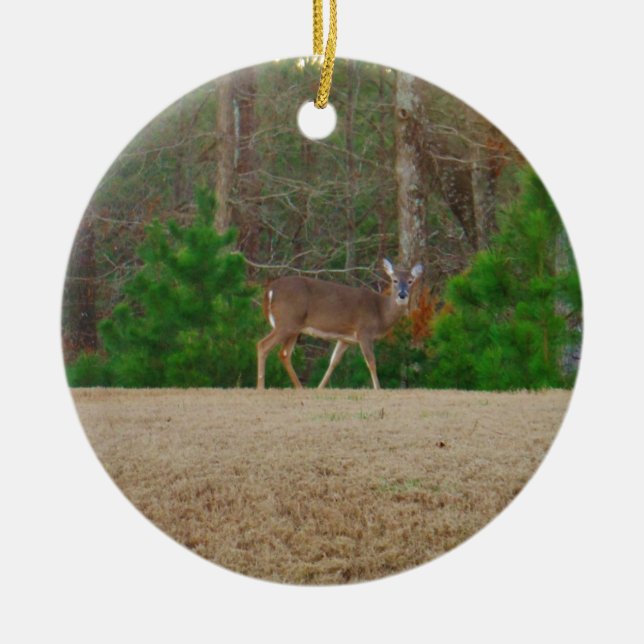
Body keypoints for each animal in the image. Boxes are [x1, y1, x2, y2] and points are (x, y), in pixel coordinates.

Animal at [256, 258, 424, 390]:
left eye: (410, 281)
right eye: (394, 280)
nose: (402, 294)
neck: (380, 313)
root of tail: (270, 291)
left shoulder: (346, 339)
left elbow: (333, 362)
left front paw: (319, 388)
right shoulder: (364, 331)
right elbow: (371, 362)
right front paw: (378, 388)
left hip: (294, 327)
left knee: (284, 353)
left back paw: (300, 388)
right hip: (286, 322)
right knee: (263, 345)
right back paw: (261, 386)